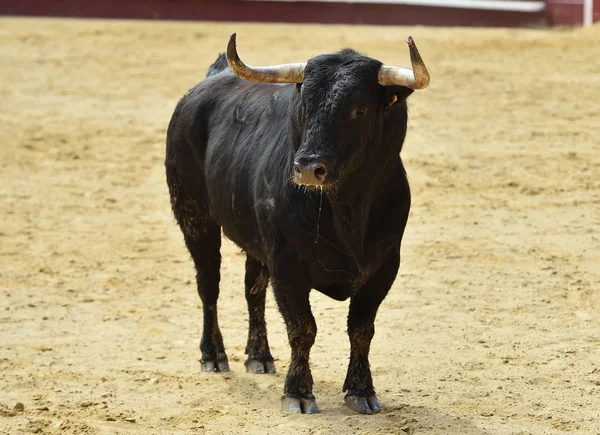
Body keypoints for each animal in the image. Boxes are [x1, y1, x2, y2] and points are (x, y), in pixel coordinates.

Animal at [163, 35, 426, 416]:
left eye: (359, 110)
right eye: (305, 106)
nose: (307, 169)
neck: (345, 210)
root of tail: (211, 79)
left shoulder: (384, 266)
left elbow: (361, 328)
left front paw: (362, 391)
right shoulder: (287, 266)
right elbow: (303, 328)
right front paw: (298, 393)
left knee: (252, 290)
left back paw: (259, 356)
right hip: (194, 218)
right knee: (208, 286)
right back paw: (213, 356)